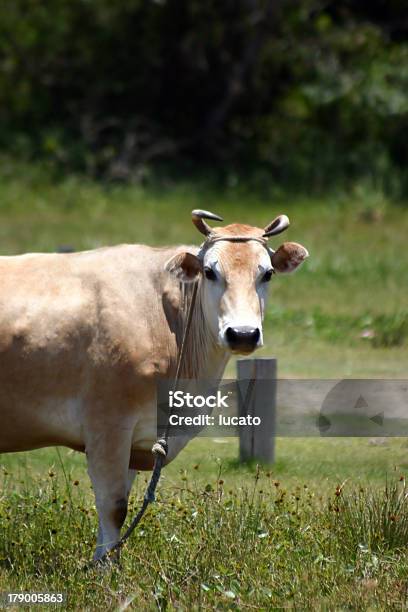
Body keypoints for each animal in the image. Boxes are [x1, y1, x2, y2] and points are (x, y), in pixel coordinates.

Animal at [0, 210, 308, 560]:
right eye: (209, 272)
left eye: (267, 273)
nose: (243, 334)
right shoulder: (108, 426)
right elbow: (114, 508)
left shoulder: (136, 439)